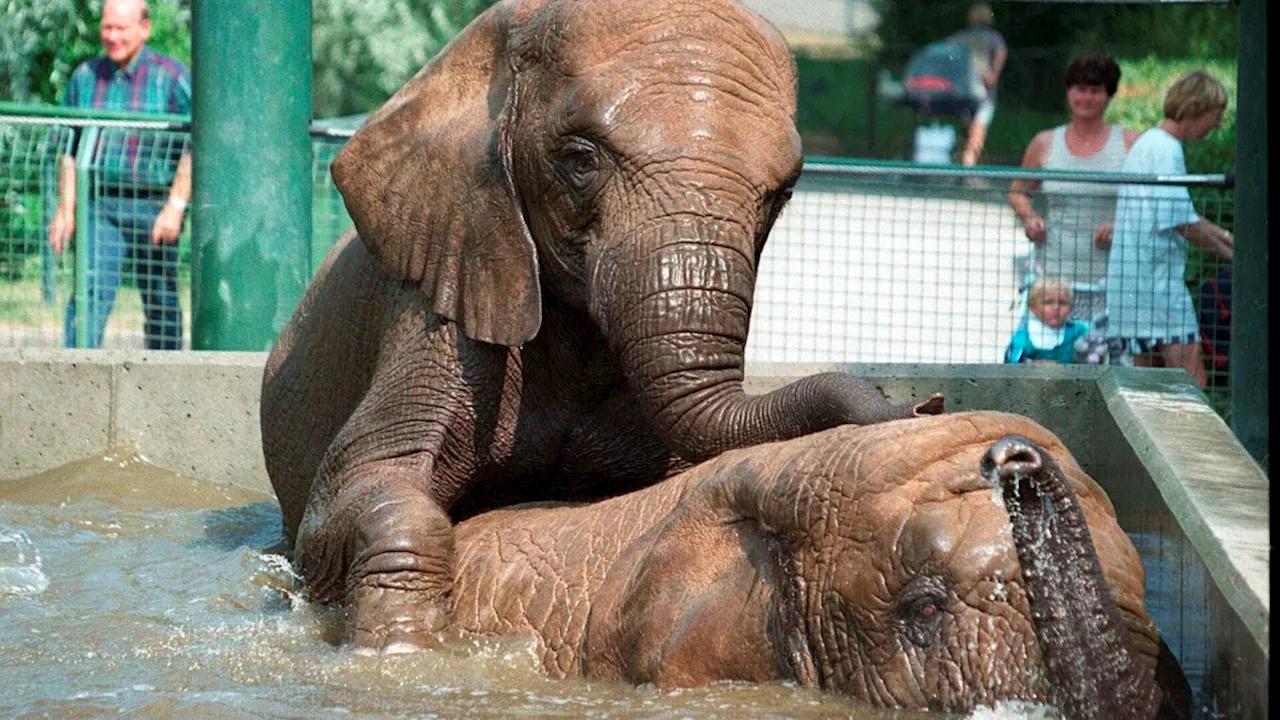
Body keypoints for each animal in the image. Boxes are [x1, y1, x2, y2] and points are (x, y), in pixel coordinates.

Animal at [259, 0, 942, 650]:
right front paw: (403, 647)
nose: (919, 404)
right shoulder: (440, 302)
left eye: (785, 192)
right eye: (580, 160)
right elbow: (359, 485)